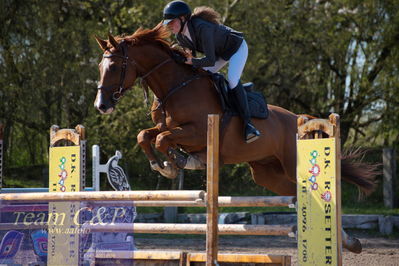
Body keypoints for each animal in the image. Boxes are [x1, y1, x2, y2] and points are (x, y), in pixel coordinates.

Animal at [94, 23, 378, 254]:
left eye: (116, 66)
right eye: (99, 67)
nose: (102, 106)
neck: (175, 87)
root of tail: (300, 119)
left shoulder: (197, 132)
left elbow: (164, 140)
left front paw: (176, 164)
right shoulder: (166, 126)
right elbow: (146, 135)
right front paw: (163, 165)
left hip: (290, 165)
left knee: (313, 193)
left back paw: (346, 242)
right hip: (267, 174)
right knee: (296, 194)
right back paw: (349, 242)